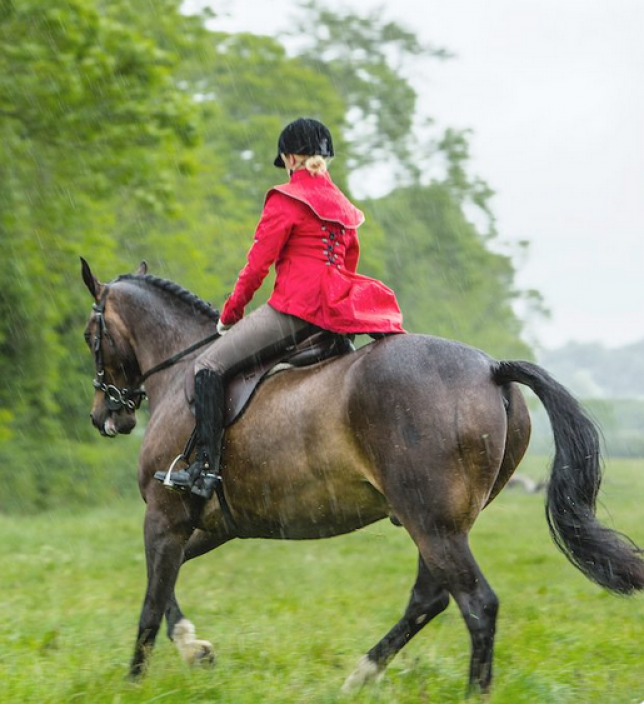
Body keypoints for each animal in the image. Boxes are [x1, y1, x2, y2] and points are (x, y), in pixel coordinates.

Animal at [79, 258, 644, 692]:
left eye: (91, 336)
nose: (105, 417)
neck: (181, 375)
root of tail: (492, 368)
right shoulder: (211, 524)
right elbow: (164, 582)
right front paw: (195, 648)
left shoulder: (165, 515)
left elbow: (151, 600)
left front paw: (135, 682)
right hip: (440, 523)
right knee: (430, 598)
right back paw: (360, 676)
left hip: (431, 523)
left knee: (476, 605)